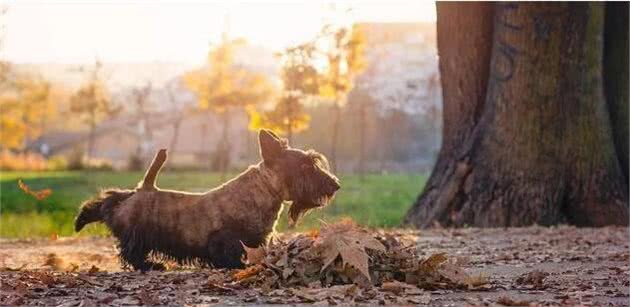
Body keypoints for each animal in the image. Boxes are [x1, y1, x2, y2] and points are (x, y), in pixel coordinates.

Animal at [74, 129, 340, 270]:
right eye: (305, 166)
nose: (335, 185)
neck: (265, 190)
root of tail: (144, 188)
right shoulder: (227, 239)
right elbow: (229, 256)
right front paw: (238, 265)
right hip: (138, 231)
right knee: (130, 249)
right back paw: (151, 265)